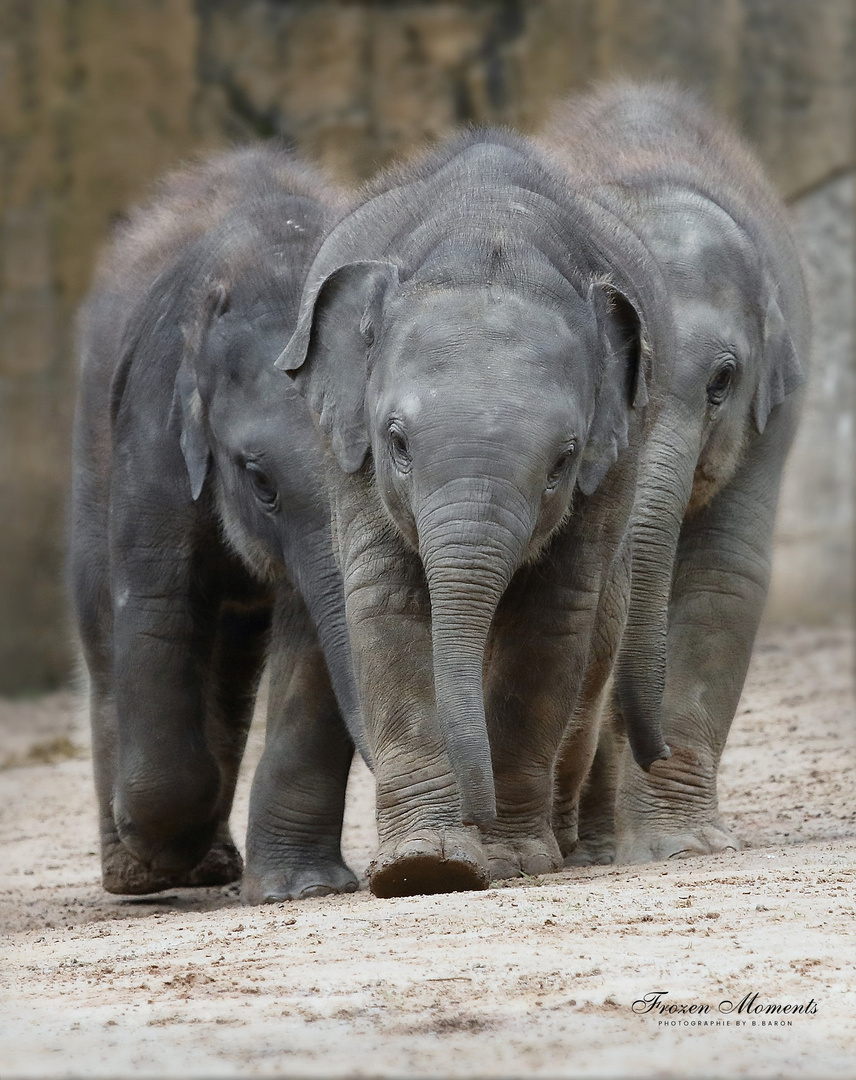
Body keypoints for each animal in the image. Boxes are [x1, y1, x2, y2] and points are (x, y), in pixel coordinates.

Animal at [70, 145, 367, 902]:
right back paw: (140, 877)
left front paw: (300, 890)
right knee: (102, 628)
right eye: (260, 482)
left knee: (233, 660)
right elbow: (155, 606)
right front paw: (160, 844)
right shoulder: (153, 424)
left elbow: (313, 647)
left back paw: (212, 865)